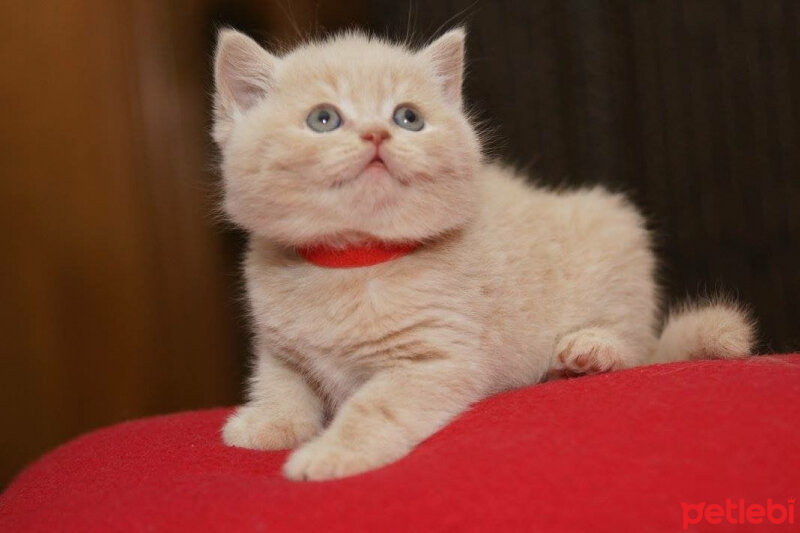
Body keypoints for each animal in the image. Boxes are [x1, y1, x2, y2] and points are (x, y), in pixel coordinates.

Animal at [209, 27, 752, 480]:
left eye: (408, 117)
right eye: (323, 119)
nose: (378, 134)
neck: (354, 261)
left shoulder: (433, 359)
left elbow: (373, 407)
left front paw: (329, 455)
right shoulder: (280, 346)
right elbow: (277, 381)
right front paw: (265, 423)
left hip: (616, 230)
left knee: (639, 346)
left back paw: (590, 350)